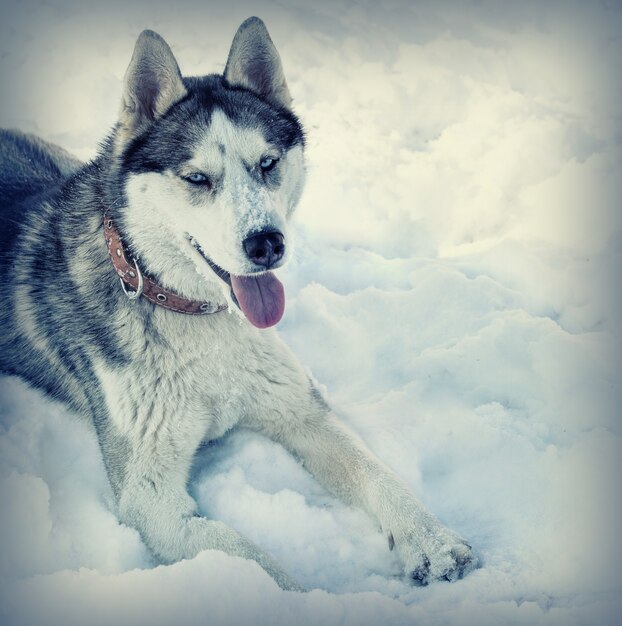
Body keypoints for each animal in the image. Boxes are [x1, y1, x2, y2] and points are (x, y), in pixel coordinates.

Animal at [0, 18, 478, 584]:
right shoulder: (149, 498)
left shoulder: (299, 408)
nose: (267, 242)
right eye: (197, 178)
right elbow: (247, 558)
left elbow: (373, 471)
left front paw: (431, 540)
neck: (191, 311)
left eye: (267, 164)